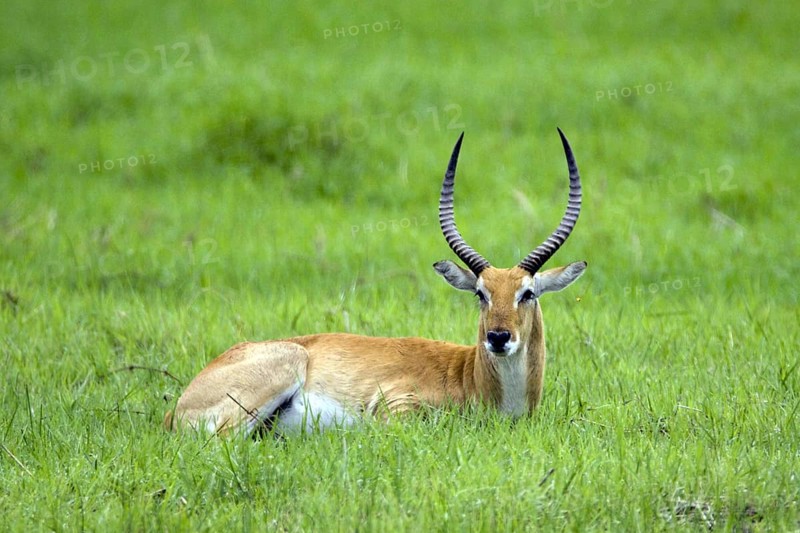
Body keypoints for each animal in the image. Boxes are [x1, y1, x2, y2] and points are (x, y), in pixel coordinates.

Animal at [165, 129, 586, 435]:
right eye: (481, 294)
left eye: (527, 293)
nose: (498, 338)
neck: (472, 380)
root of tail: (177, 408)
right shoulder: (393, 407)